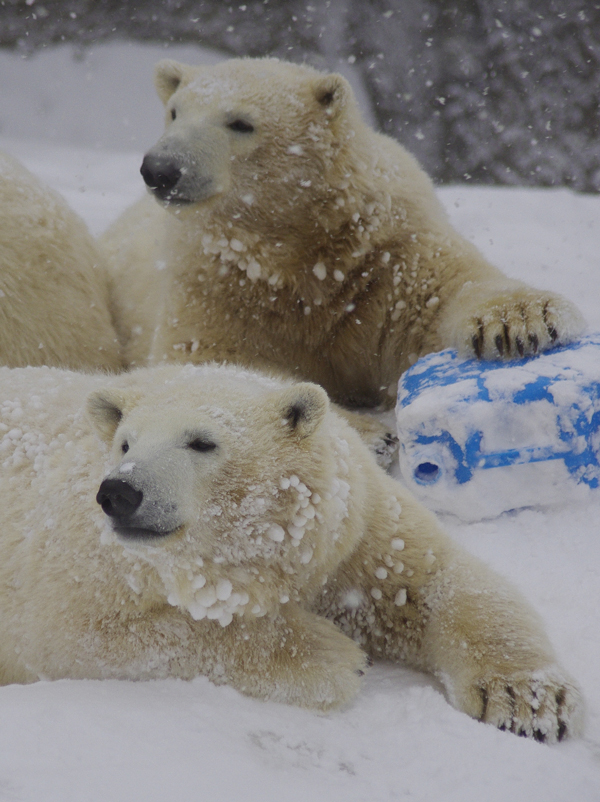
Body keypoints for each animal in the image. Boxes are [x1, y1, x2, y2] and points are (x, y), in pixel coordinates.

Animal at [0, 360, 584, 740]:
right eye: (125, 442)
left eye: (202, 441)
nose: (120, 492)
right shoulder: (91, 560)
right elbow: (88, 634)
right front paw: (335, 655)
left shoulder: (353, 529)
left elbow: (433, 582)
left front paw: (528, 700)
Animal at [105, 58, 584, 406]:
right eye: (174, 113)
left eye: (240, 123)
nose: (161, 169)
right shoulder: (216, 279)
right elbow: (210, 358)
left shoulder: (388, 256)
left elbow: (448, 290)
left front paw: (522, 322)